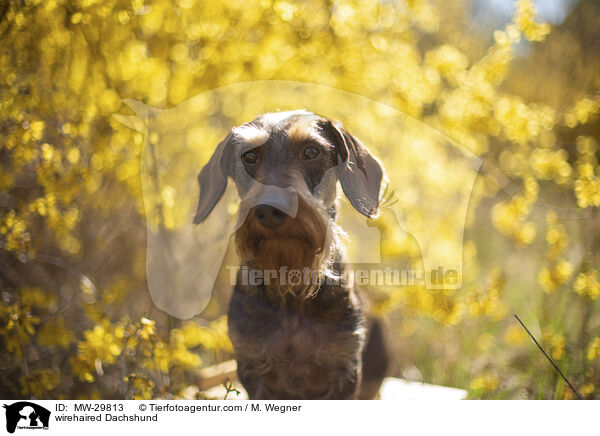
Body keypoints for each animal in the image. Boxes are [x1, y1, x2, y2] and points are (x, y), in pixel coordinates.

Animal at [193, 109, 390, 398]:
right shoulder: (253, 367)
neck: (291, 287)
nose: (269, 209)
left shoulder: (344, 370)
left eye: (311, 151)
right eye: (249, 156)